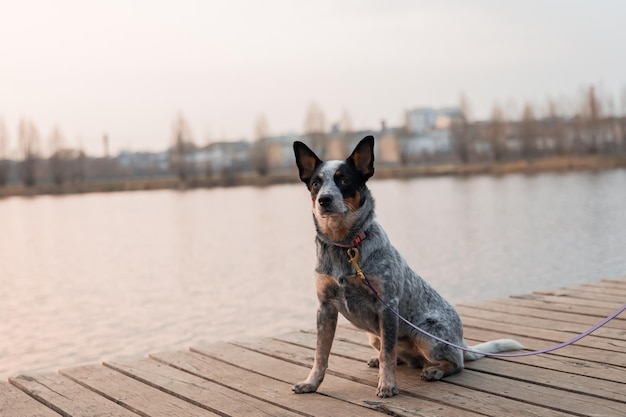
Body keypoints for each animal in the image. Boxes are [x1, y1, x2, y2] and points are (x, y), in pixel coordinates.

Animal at [292, 136, 520, 396]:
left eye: (344, 180)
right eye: (316, 183)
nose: (324, 200)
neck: (345, 246)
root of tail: (461, 341)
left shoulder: (388, 306)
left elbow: (388, 354)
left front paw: (387, 384)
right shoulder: (325, 307)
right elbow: (320, 354)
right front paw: (311, 382)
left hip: (426, 334)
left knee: (456, 362)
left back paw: (435, 370)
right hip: (374, 336)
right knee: (398, 354)